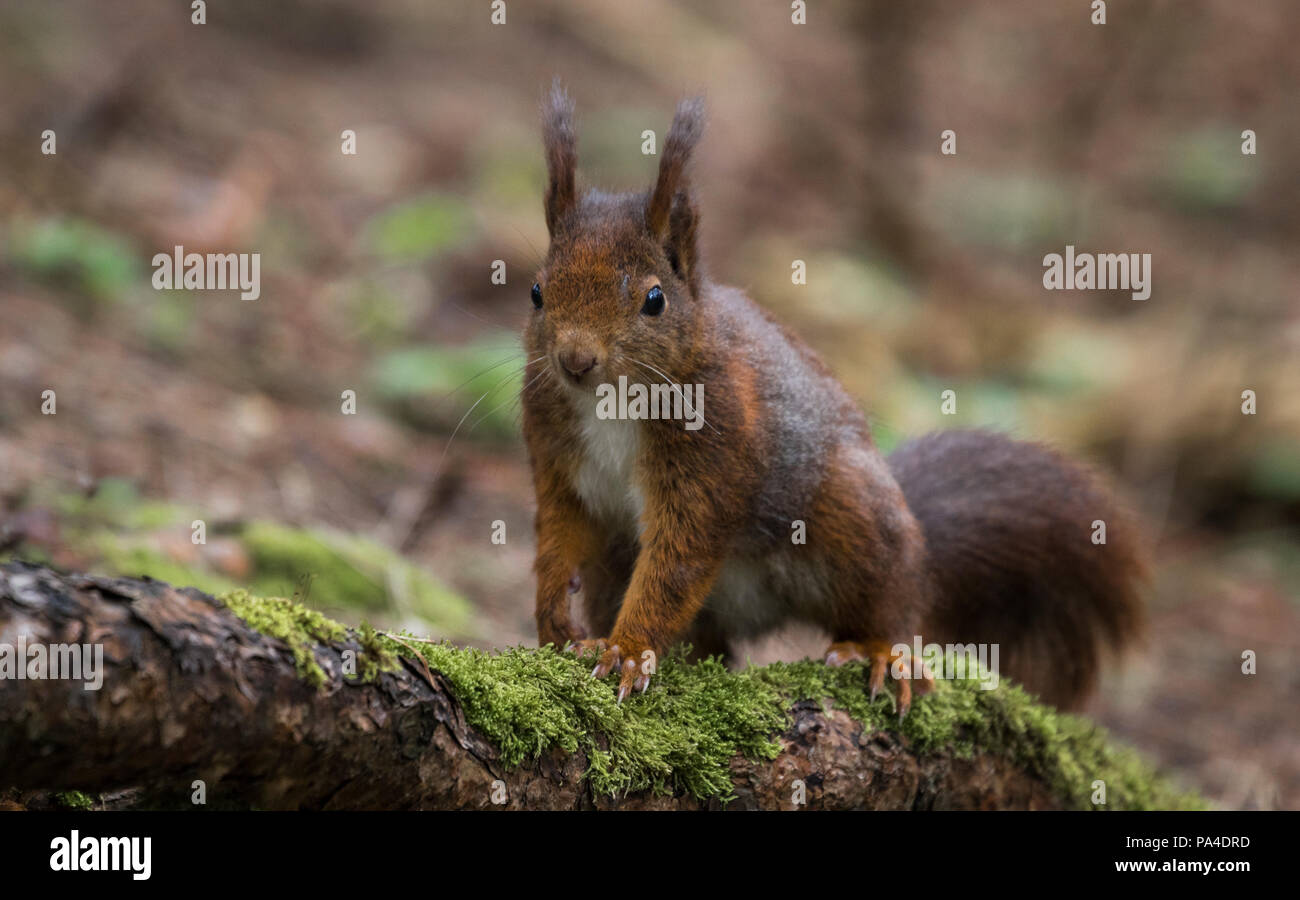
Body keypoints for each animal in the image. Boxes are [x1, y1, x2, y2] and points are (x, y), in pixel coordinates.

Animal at [520, 85, 1149, 717]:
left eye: (654, 300)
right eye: (536, 291)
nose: (575, 361)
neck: (611, 401)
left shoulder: (715, 448)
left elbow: (678, 559)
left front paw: (628, 650)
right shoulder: (557, 455)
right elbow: (559, 530)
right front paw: (555, 620)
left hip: (849, 517)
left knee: (891, 603)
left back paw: (882, 651)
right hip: (620, 566)